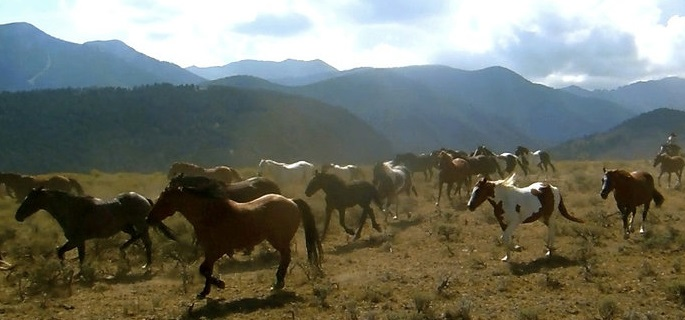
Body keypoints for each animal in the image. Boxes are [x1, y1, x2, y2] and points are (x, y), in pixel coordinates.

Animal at [16, 186, 178, 268]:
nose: (17, 216)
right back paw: (124, 250)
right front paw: (65, 269)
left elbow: (78, 256)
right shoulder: (75, 241)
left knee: (146, 242)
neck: (71, 209)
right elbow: (61, 252)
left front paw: (79, 273)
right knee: (136, 238)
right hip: (127, 227)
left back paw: (146, 264)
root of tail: (144, 199)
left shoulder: (77, 240)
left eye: (30, 200)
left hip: (139, 224)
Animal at [146, 185, 322, 300]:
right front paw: (204, 292)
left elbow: (204, 269)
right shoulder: (209, 250)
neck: (211, 215)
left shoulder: (219, 250)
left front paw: (220, 284)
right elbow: (206, 270)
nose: (149, 218)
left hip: (278, 240)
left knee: (286, 257)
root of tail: (291, 201)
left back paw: (278, 283)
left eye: (165, 200)